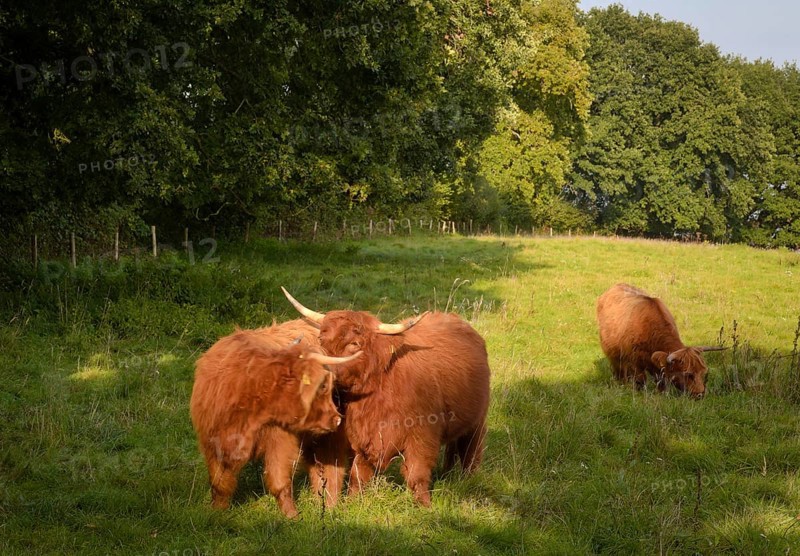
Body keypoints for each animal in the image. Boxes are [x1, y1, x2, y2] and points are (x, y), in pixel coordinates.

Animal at [190, 322, 361, 517]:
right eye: (323, 386)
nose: (336, 419)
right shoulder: (212, 442)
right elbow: (220, 483)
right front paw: (217, 512)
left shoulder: (280, 440)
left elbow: (279, 480)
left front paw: (291, 515)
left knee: (333, 466)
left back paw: (329, 504)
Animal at [282, 287, 491, 507]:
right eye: (322, 341)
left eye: (355, 343)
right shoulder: (362, 438)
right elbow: (358, 474)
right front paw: (354, 501)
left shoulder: (422, 437)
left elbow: (417, 474)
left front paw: (425, 505)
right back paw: (446, 473)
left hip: (477, 420)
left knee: (471, 450)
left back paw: (467, 478)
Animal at [596, 283, 725, 398]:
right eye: (688, 374)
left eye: (702, 372)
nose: (700, 394)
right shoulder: (635, 363)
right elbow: (640, 381)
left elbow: (661, 383)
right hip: (614, 354)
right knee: (619, 369)